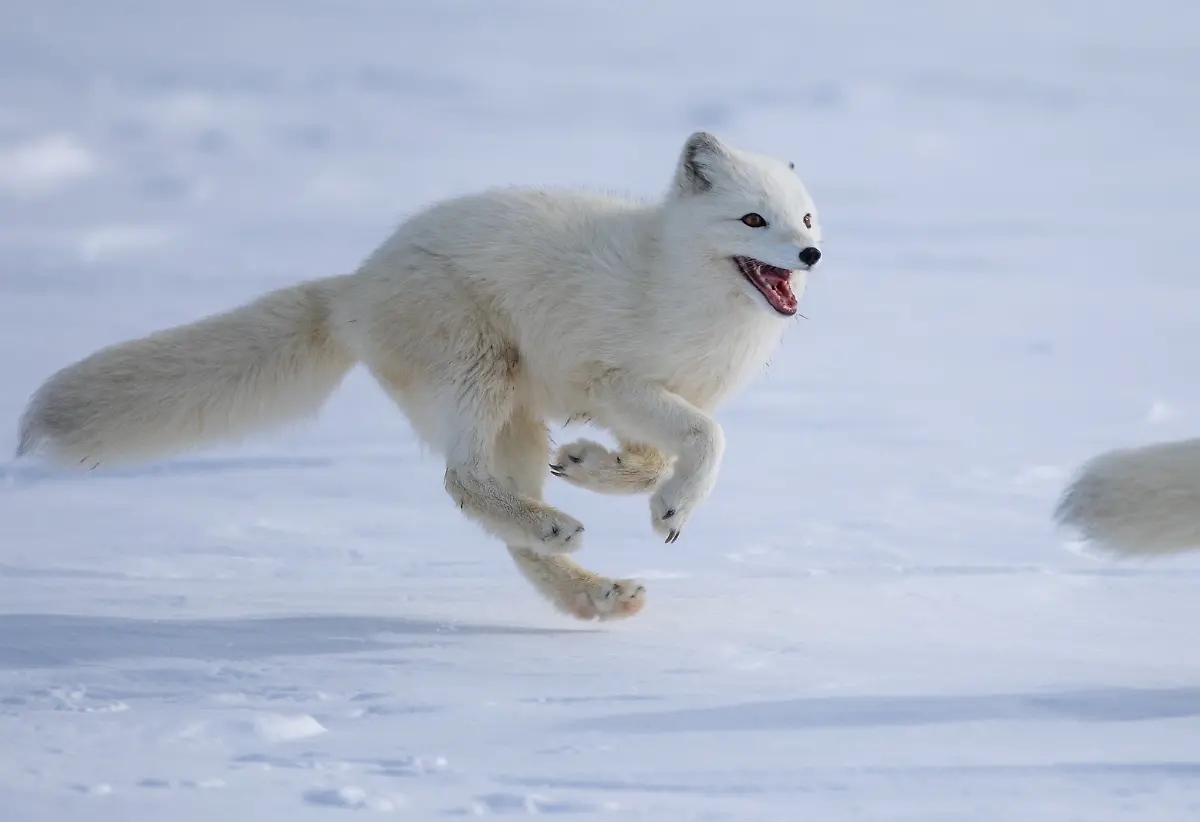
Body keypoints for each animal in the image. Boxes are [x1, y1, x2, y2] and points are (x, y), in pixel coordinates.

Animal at [15, 131, 823, 621]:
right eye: (753, 221)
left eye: (807, 220)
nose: (812, 256)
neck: (673, 281)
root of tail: (355, 285)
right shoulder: (609, 376)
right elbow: (708, 437)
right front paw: (673, 507)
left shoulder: (638, 400)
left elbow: (654, 454)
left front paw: (601, 468)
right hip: (479, 370)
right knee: (461, 482)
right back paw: (559, 532)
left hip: (515, 417)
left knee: (500, 524)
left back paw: (594, 592)